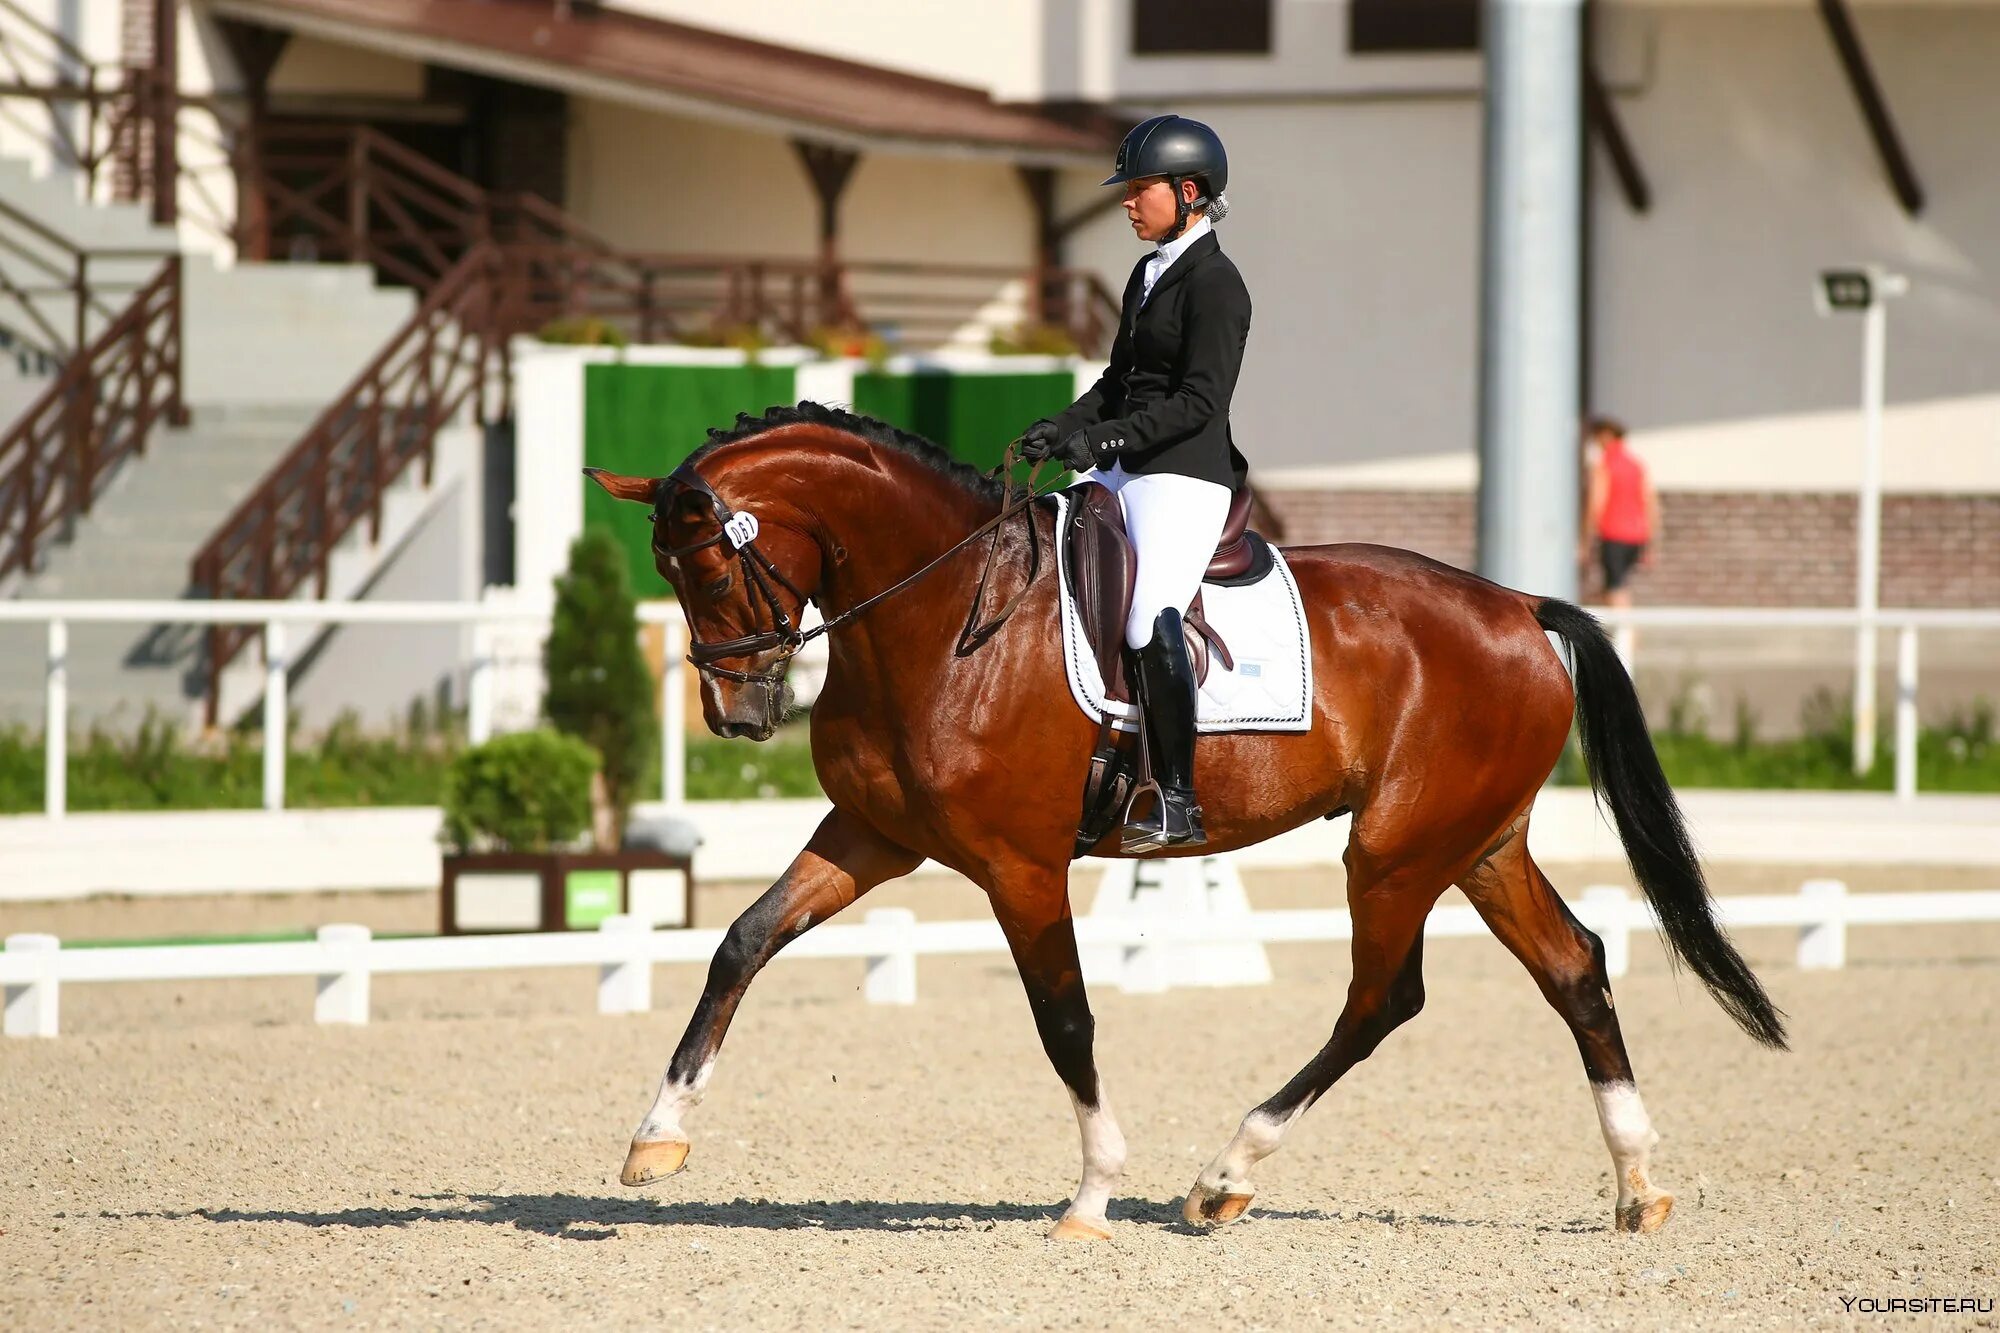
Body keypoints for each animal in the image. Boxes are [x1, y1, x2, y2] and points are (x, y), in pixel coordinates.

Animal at [584, 400, 1792, 1240]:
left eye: (712, 569)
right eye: (671, 573)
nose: (739, 716)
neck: (942, 615)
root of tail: (1516, 607)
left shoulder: (1018, 866)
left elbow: (1065, 1020)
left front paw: (1091, 1195)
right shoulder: (874, 836)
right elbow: (741, 941)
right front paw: (657, 1138)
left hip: (1395, 850)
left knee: (1383, 996)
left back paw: (1224, 1175)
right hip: (1478, 842)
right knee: (1575, 968)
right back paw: (1638, 1187)